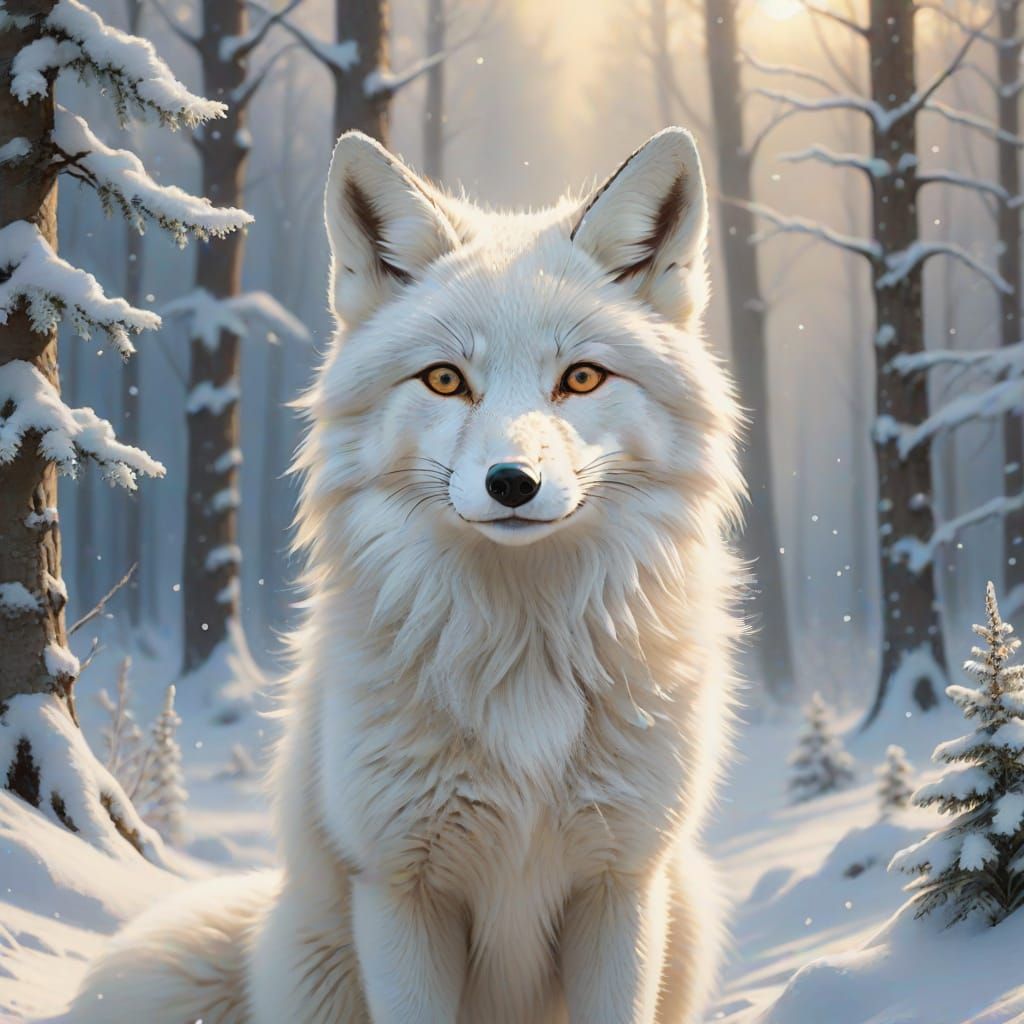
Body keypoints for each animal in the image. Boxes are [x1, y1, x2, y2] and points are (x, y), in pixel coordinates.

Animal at [59, 126, 745, 1024]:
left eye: (582, 378)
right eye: (446, 380)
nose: (511, 483)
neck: (522, 655)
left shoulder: (619, 884)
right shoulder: (398, 892)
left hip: (685, 912)